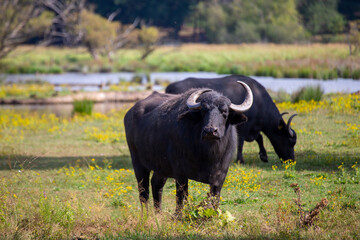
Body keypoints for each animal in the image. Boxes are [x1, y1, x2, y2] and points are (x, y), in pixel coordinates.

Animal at [124, 81, 253, 214]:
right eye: (203, 111)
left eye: (224, 112)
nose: (210, 131)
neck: (208, 155)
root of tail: (130, 113)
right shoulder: (180, 174)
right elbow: (181, 197)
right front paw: (179, 215)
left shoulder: (220, 176)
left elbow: (214, 199)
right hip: (138, 163)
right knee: (143, 192)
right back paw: (146, 215)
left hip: (161, 167)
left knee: (156, 184)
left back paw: (158, 213)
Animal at [165, 75, 296, 165]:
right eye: (290, 141)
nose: (291, 160)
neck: (259, 102)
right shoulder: (244, 126)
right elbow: (241, 142)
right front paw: (240, 160)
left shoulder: (254, 128)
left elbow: (260, 138)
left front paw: (264, 156)